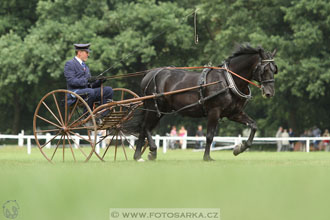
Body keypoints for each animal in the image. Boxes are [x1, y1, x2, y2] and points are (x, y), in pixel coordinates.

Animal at [133, 45, 278, 162]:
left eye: (274, 69)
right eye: (264, 69)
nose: (269, 93)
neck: (228, 81)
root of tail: (149, 73)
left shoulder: (234, 113)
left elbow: (253, 125)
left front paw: (239, 148)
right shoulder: (214, 111)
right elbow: (209, 135)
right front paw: (207, 157)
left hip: (161, 110)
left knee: (144, 129)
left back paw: (138, 155)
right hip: (153, 107)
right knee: (145, 127)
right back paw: (151, 150)